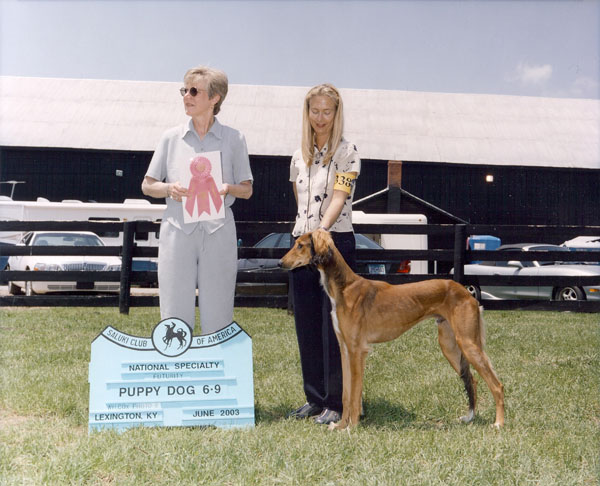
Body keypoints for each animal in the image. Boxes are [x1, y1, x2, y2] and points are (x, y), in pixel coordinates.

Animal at [278, 229, 504, 430]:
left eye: (300, 245)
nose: (280, 263)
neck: (344, 288)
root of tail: (466, 293)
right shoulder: (345, 349)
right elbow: (345, 394)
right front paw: (341, 425)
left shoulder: (357, 350)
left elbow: (354, 394)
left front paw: (352, 427)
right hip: (450, 345)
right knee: (472, 380)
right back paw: (470, 417)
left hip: (468, 343)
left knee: (497, 385)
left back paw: (499, 423)